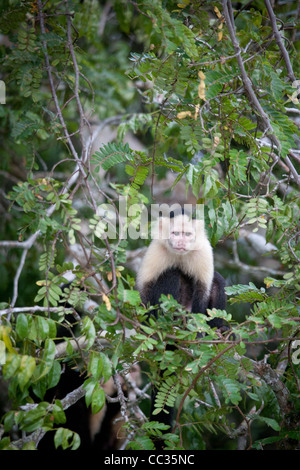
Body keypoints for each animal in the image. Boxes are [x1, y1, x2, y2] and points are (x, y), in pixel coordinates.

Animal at [136, 208, 227, 440]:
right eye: (175, 233)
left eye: (187, 234)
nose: (180, 242)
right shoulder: (156, 251)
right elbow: (144, 290)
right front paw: (147, 327)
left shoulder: (203, 251)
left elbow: (204, 291)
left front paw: (200, 334)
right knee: (171, 274)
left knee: (217, 281)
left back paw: (220, 330)